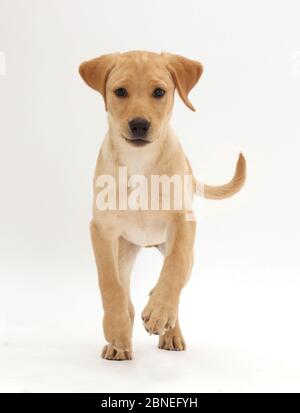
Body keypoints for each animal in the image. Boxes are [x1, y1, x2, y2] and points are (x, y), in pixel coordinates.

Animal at [79, 50, 246, 360]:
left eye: (159, 92)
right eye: (120, 92)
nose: (139, 124)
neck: (139, 161)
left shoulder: (183, 221)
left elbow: (174, 267)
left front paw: (159, 311)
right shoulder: (102, 229)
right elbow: (109, 284)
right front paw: (117, 330)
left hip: (187, 253)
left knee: (176, 277)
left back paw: (168, 328)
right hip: (123, 252)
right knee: (124, 290)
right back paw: (120, 338)